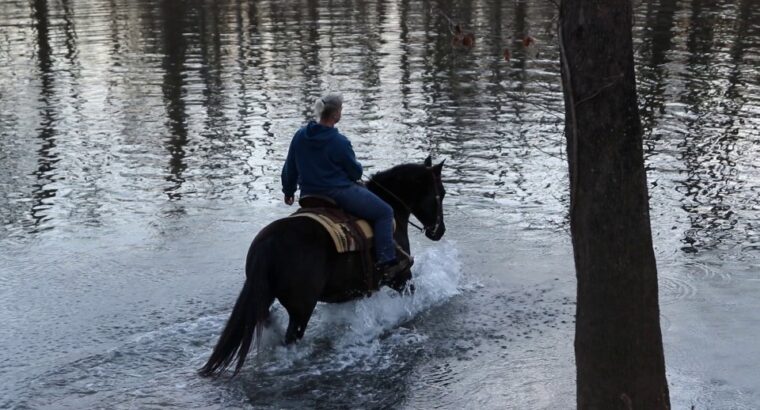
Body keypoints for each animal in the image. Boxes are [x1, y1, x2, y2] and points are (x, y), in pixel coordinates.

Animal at [199, 155, 446, 376]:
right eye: (441, 193)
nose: (439, 231)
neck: (392, 209)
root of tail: (268, 243)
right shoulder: (401, 276)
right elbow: (411, 296)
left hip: (267, 296)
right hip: (301, 309)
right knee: (291, 337)